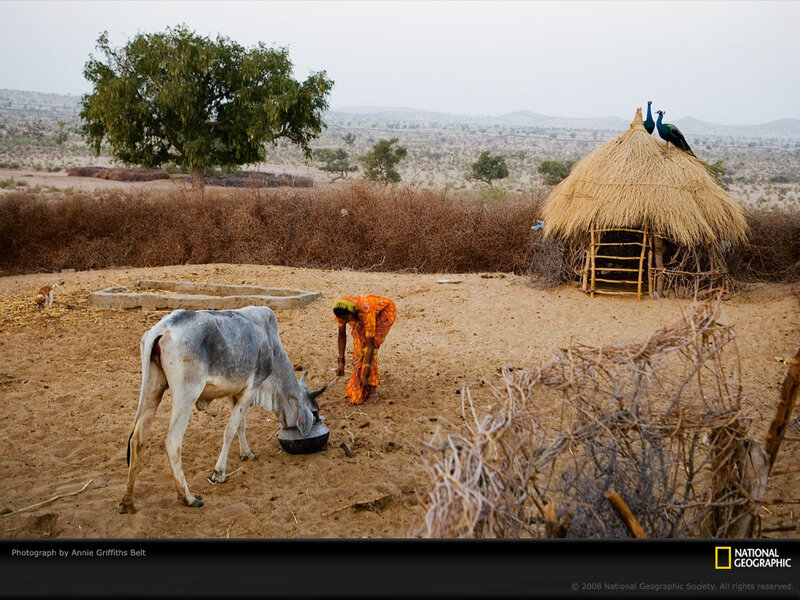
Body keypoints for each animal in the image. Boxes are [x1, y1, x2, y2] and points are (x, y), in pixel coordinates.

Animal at [120, 306, 326, 513]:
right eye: (315, 413)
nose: (318, 420)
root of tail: (164, 326)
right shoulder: (251, 389)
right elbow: (230, 430)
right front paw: (219, 473)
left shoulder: (233, 392)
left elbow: (240, 426)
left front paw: (246, 454)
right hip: (185, 396)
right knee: (172, 441)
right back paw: (188, 498)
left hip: (153, 390)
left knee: (137, 440)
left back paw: (128, 501)